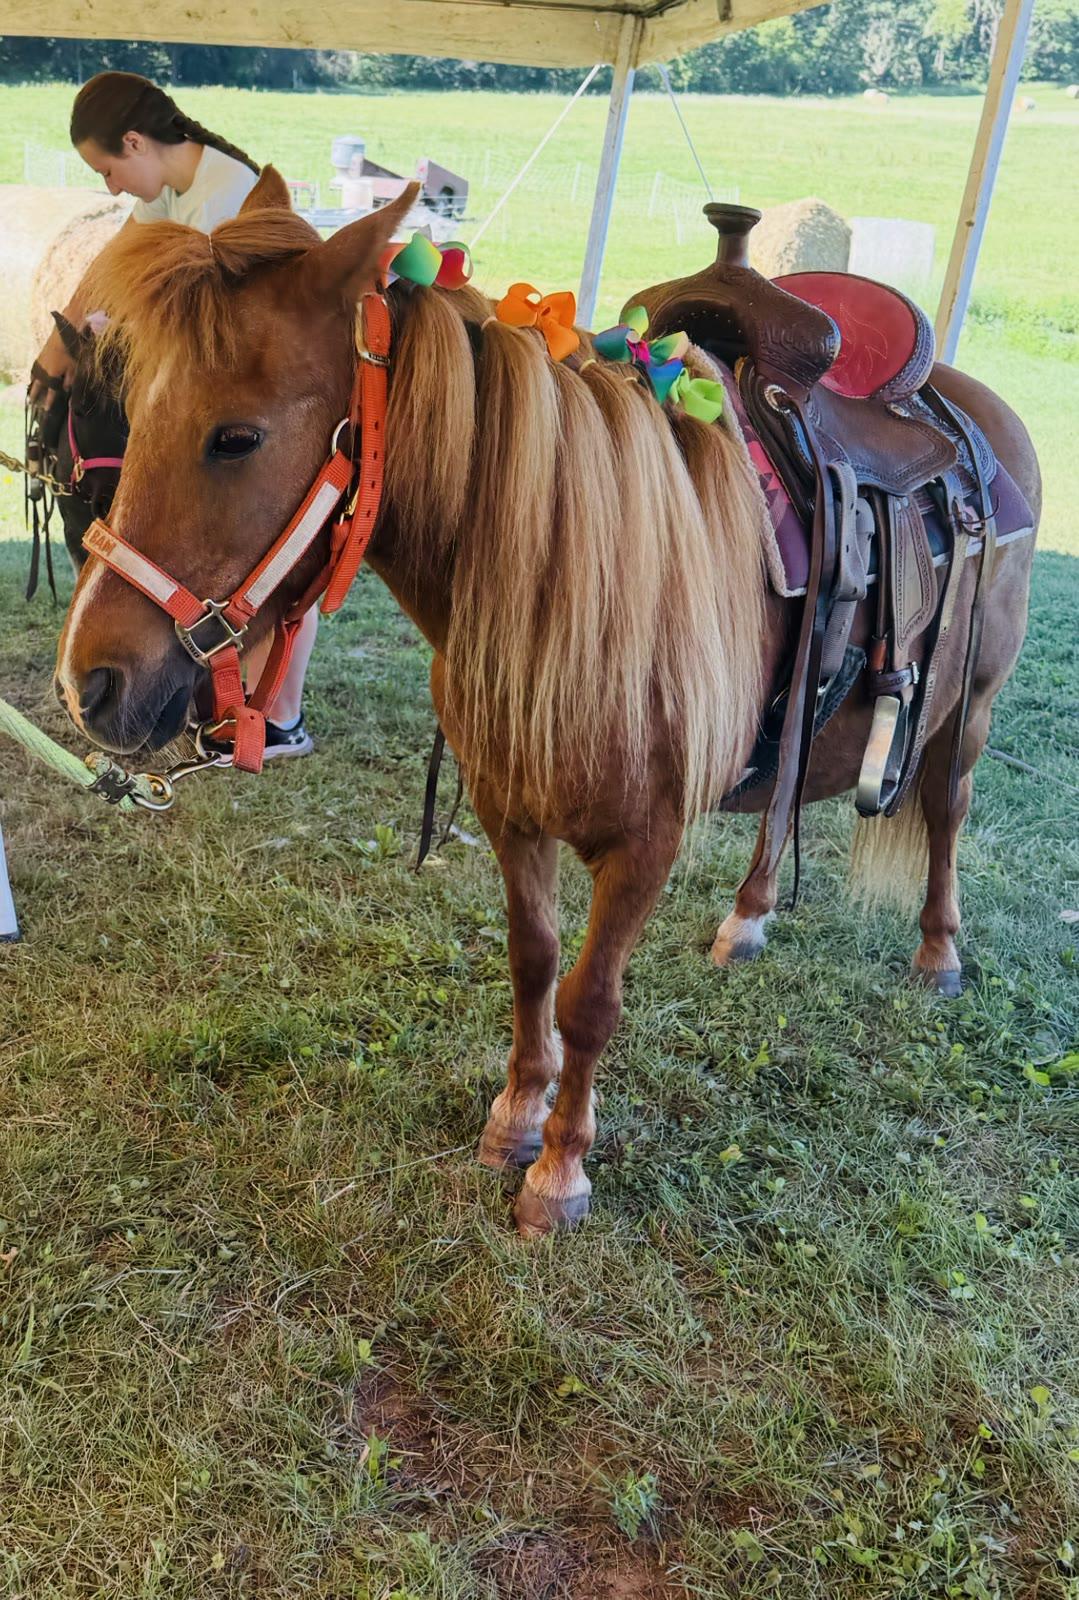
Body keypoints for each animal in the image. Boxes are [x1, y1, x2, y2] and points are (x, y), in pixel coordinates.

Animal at [54, 170, 1040, 1236]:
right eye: (130, 413)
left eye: (236, 438)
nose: (88, 680)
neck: (578, 576)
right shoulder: (507, 809)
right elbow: (533, 963)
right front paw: (516, 1120)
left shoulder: (646, 840)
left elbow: (590, 1000)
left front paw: (560, 1169)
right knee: (780, 810)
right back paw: (747, 917)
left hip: (967, 715)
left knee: (944, 809)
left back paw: (938, 952)